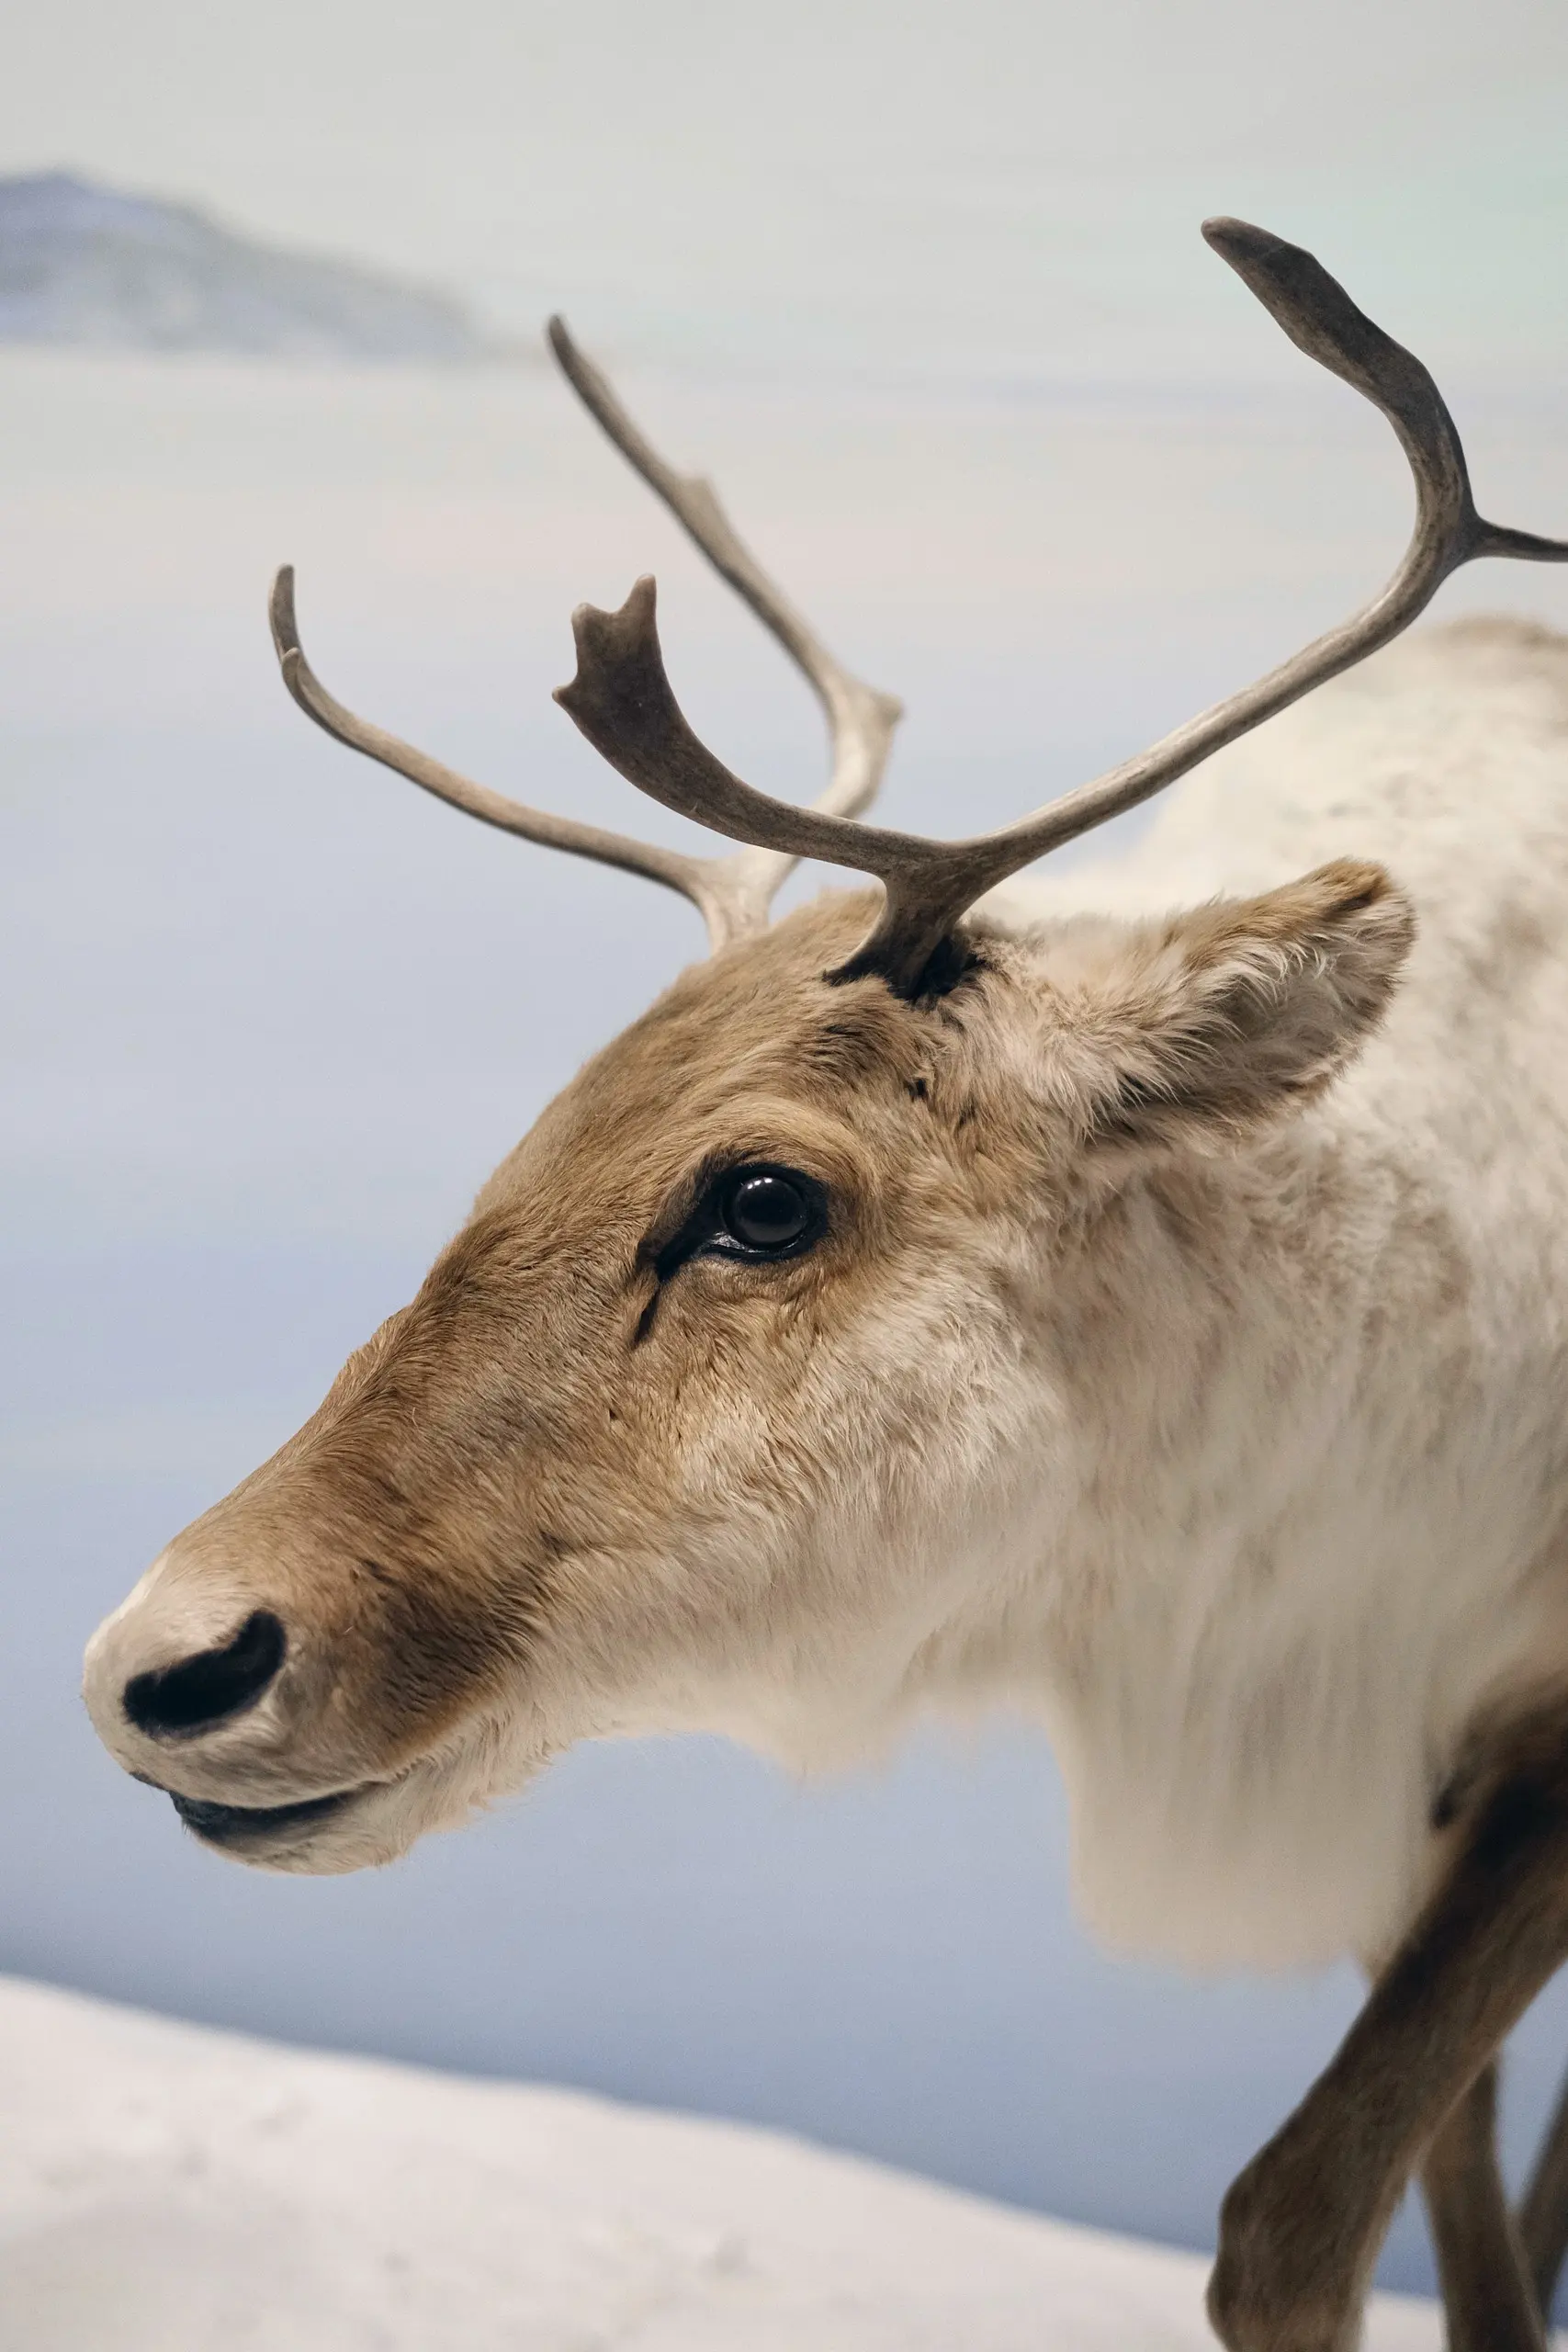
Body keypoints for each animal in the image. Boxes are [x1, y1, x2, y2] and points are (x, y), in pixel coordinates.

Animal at [81, 216, 1568, 2350]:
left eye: (765, 1198)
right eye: (542, 1121)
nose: (161, 1664)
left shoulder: (1516, 1742)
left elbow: (1295, 2216)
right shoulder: (1402, 1785)